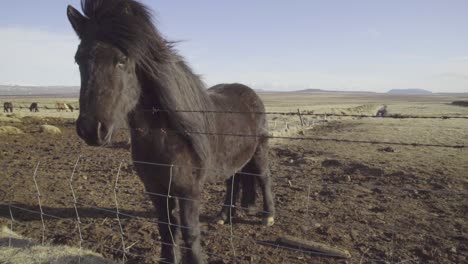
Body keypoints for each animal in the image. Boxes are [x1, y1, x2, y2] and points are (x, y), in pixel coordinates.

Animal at [67, 1, 276, 262]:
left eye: (122, 60)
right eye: (78, 60)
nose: (90, 129)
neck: (165, 137)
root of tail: (251, 93)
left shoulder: (188, 191)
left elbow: (189, 232)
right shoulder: (155, 189)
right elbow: (166, 229)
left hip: (260, 151)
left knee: (264, 177)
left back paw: (268, 216)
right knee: (233, 180)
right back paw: (223, 216)